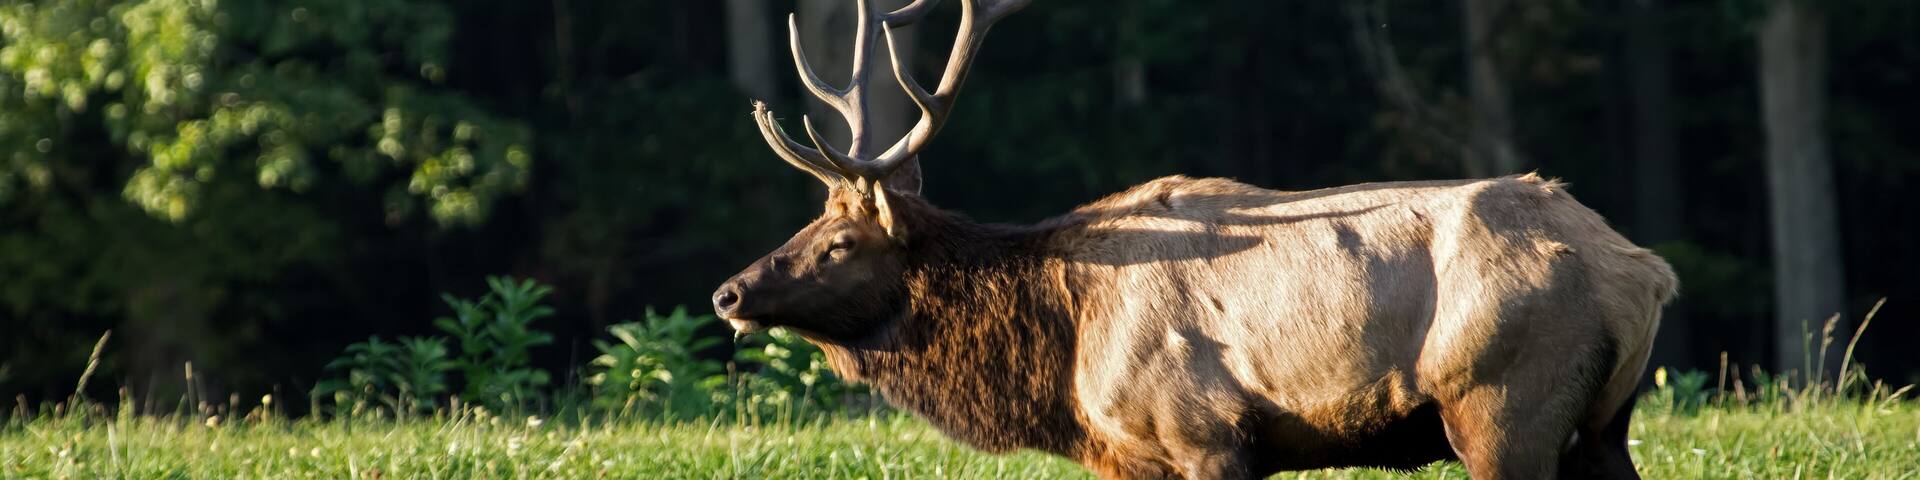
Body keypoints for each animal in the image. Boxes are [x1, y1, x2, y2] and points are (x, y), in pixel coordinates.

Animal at [710, 1, 1678, 478]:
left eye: (840, 243)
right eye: (808, 221)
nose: (729, 292)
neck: (1062, 359)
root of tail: (1646, 272)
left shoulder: (1206, 433)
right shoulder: (1124, 458)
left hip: (1503, 405)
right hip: (1605, 425)